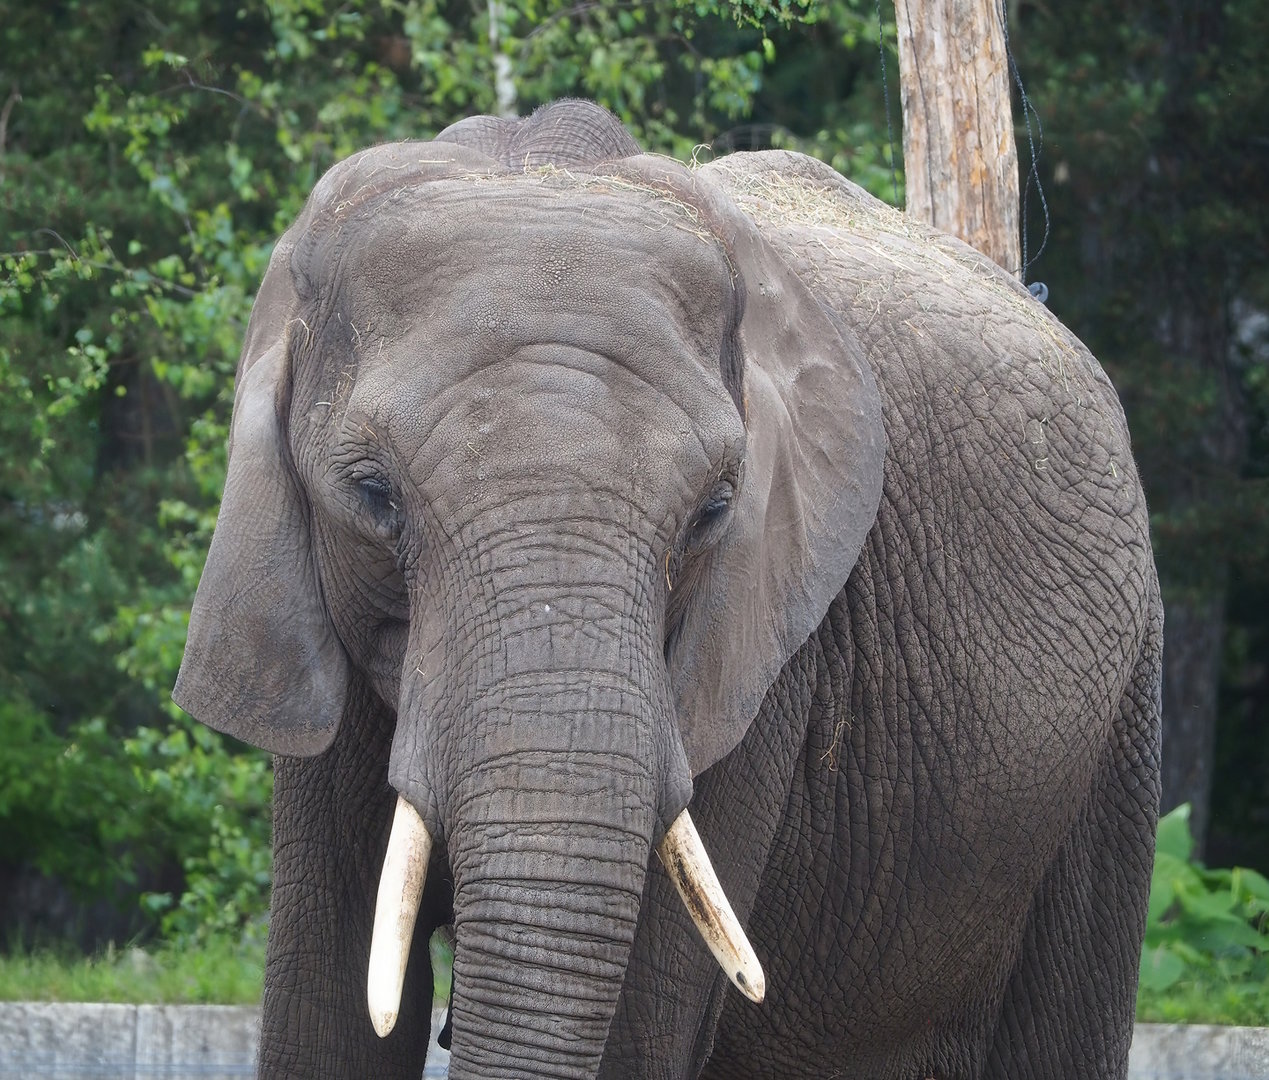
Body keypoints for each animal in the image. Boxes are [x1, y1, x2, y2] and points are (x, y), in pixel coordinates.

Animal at [173, 99, 1162, 1080]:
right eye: (372, 494)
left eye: (714, 508)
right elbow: (325, 1006)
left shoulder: (762, 667)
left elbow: (638, 1023)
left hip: (1116, 724)